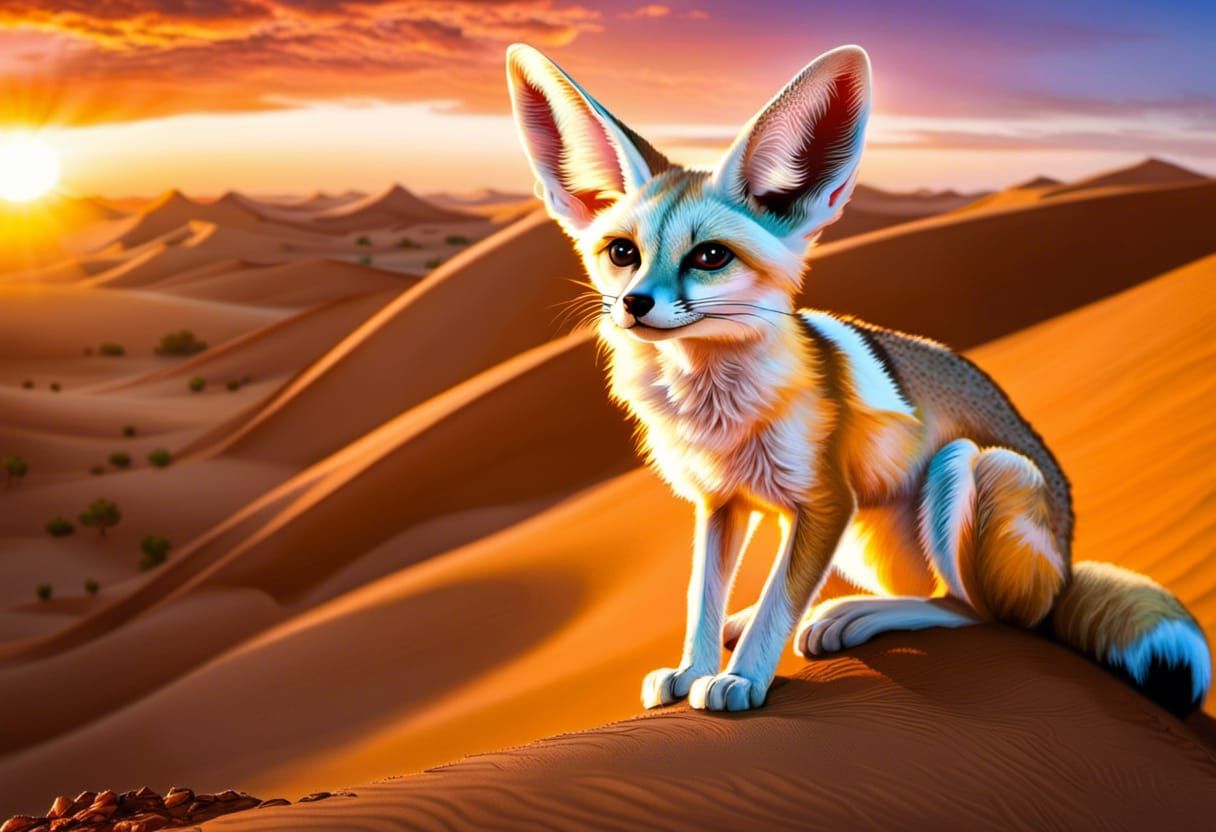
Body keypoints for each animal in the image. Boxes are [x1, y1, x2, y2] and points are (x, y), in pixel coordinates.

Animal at [505, 43, 1211, 715]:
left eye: (709, 257)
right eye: (622, 253)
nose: (634, 304)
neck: (718, 408)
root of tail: (1063, 569)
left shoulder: (826, 502)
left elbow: (778, 605)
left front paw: (741, 681)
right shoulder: (721, 503)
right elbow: (702, 598)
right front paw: (692, 668)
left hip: (968, 468)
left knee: (976, 613)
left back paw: (853, 615)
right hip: (868, 538)